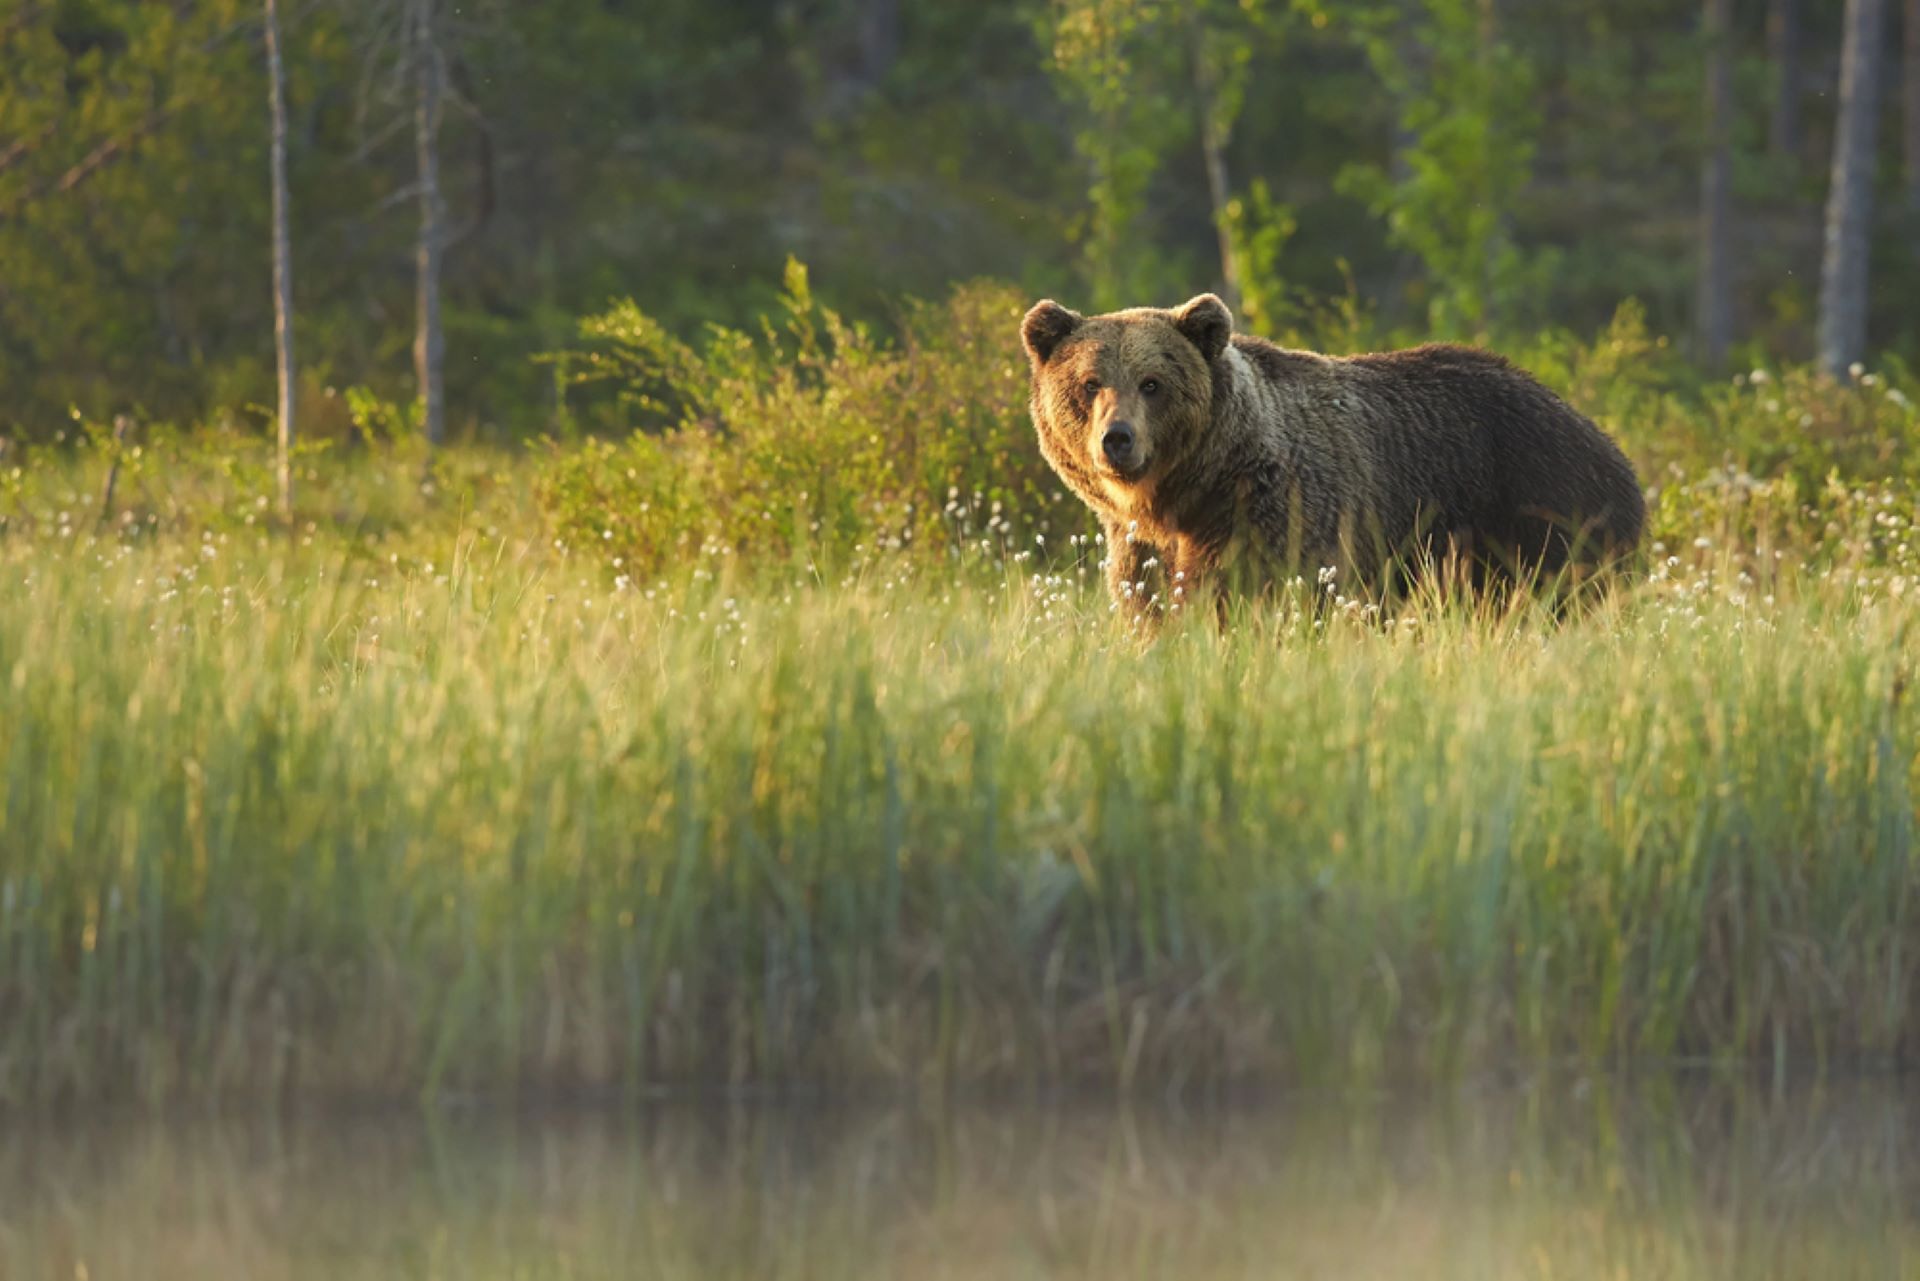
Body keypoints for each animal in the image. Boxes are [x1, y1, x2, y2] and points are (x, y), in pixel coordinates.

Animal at [1021, 297, 1651, 622]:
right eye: (1089, 383)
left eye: (1152, 383)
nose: (1117, 438)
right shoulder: (1141, 545)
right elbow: (1148, 604)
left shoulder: (1279, 514)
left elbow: (1251, 596)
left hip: (1543, 511)